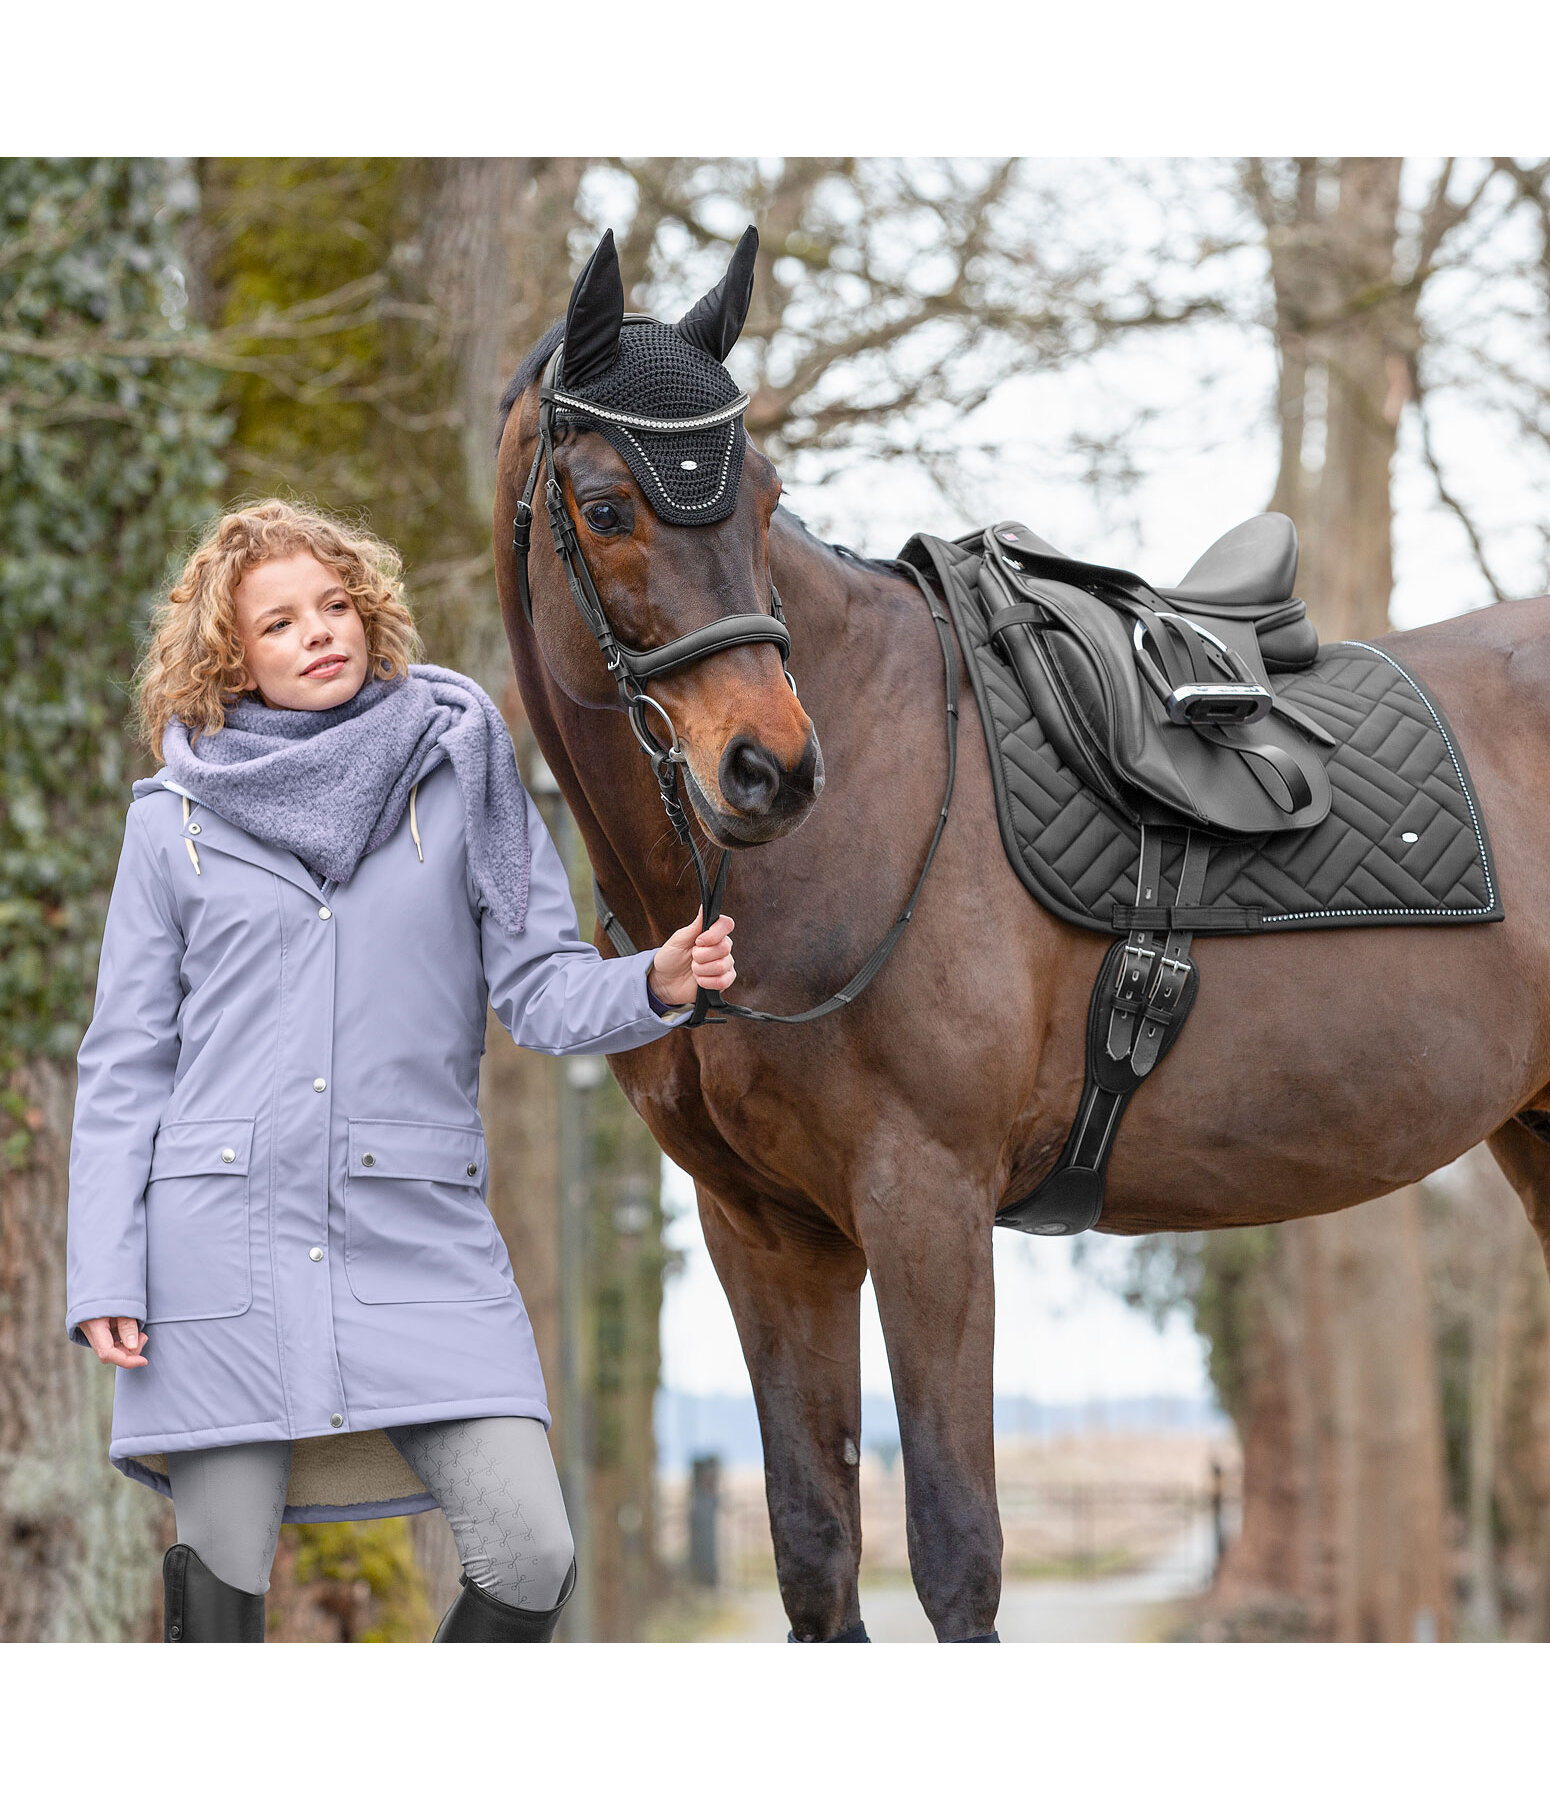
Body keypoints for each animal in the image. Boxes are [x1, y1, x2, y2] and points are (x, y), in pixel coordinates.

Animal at [489, 228, 1548, 1648]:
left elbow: (955, 1555)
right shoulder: (765, 1235)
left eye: (762, 500)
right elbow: (816, 1557)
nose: (771, 769)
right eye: (604, 508)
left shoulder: (925, 1204)